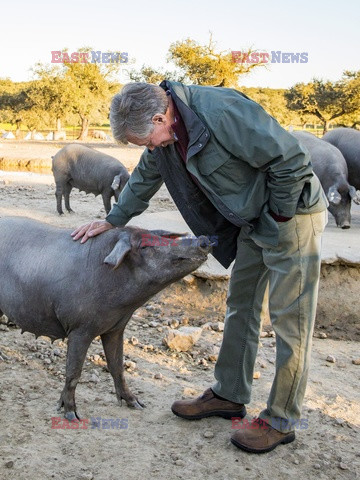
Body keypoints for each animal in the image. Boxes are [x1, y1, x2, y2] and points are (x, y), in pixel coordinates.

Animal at [0, 218, 211, 420]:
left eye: (162, 237)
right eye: (144, 246)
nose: (203, 239)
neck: (123, 304)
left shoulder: (116, 328)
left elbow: (117, 366)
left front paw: (137, 404)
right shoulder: (79, 328)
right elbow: (73, 372)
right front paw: (71, 415)